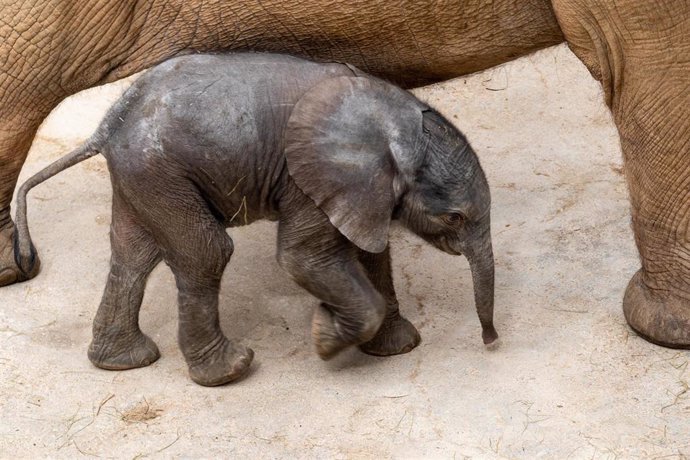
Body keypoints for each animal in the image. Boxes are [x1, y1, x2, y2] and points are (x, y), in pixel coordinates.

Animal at [16, 52, 498, 386]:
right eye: (455, 217)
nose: (491, 343)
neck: (397, 121)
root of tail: (106, 127)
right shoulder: (308, 179)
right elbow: (303, 259)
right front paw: (325, 338)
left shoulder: (360, 191)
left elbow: (370, 253)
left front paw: (397, 347)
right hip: (159, 171)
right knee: (206, 251)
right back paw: (230, 371)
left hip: (144, 175)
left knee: (133, 254)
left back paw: (123, 362)